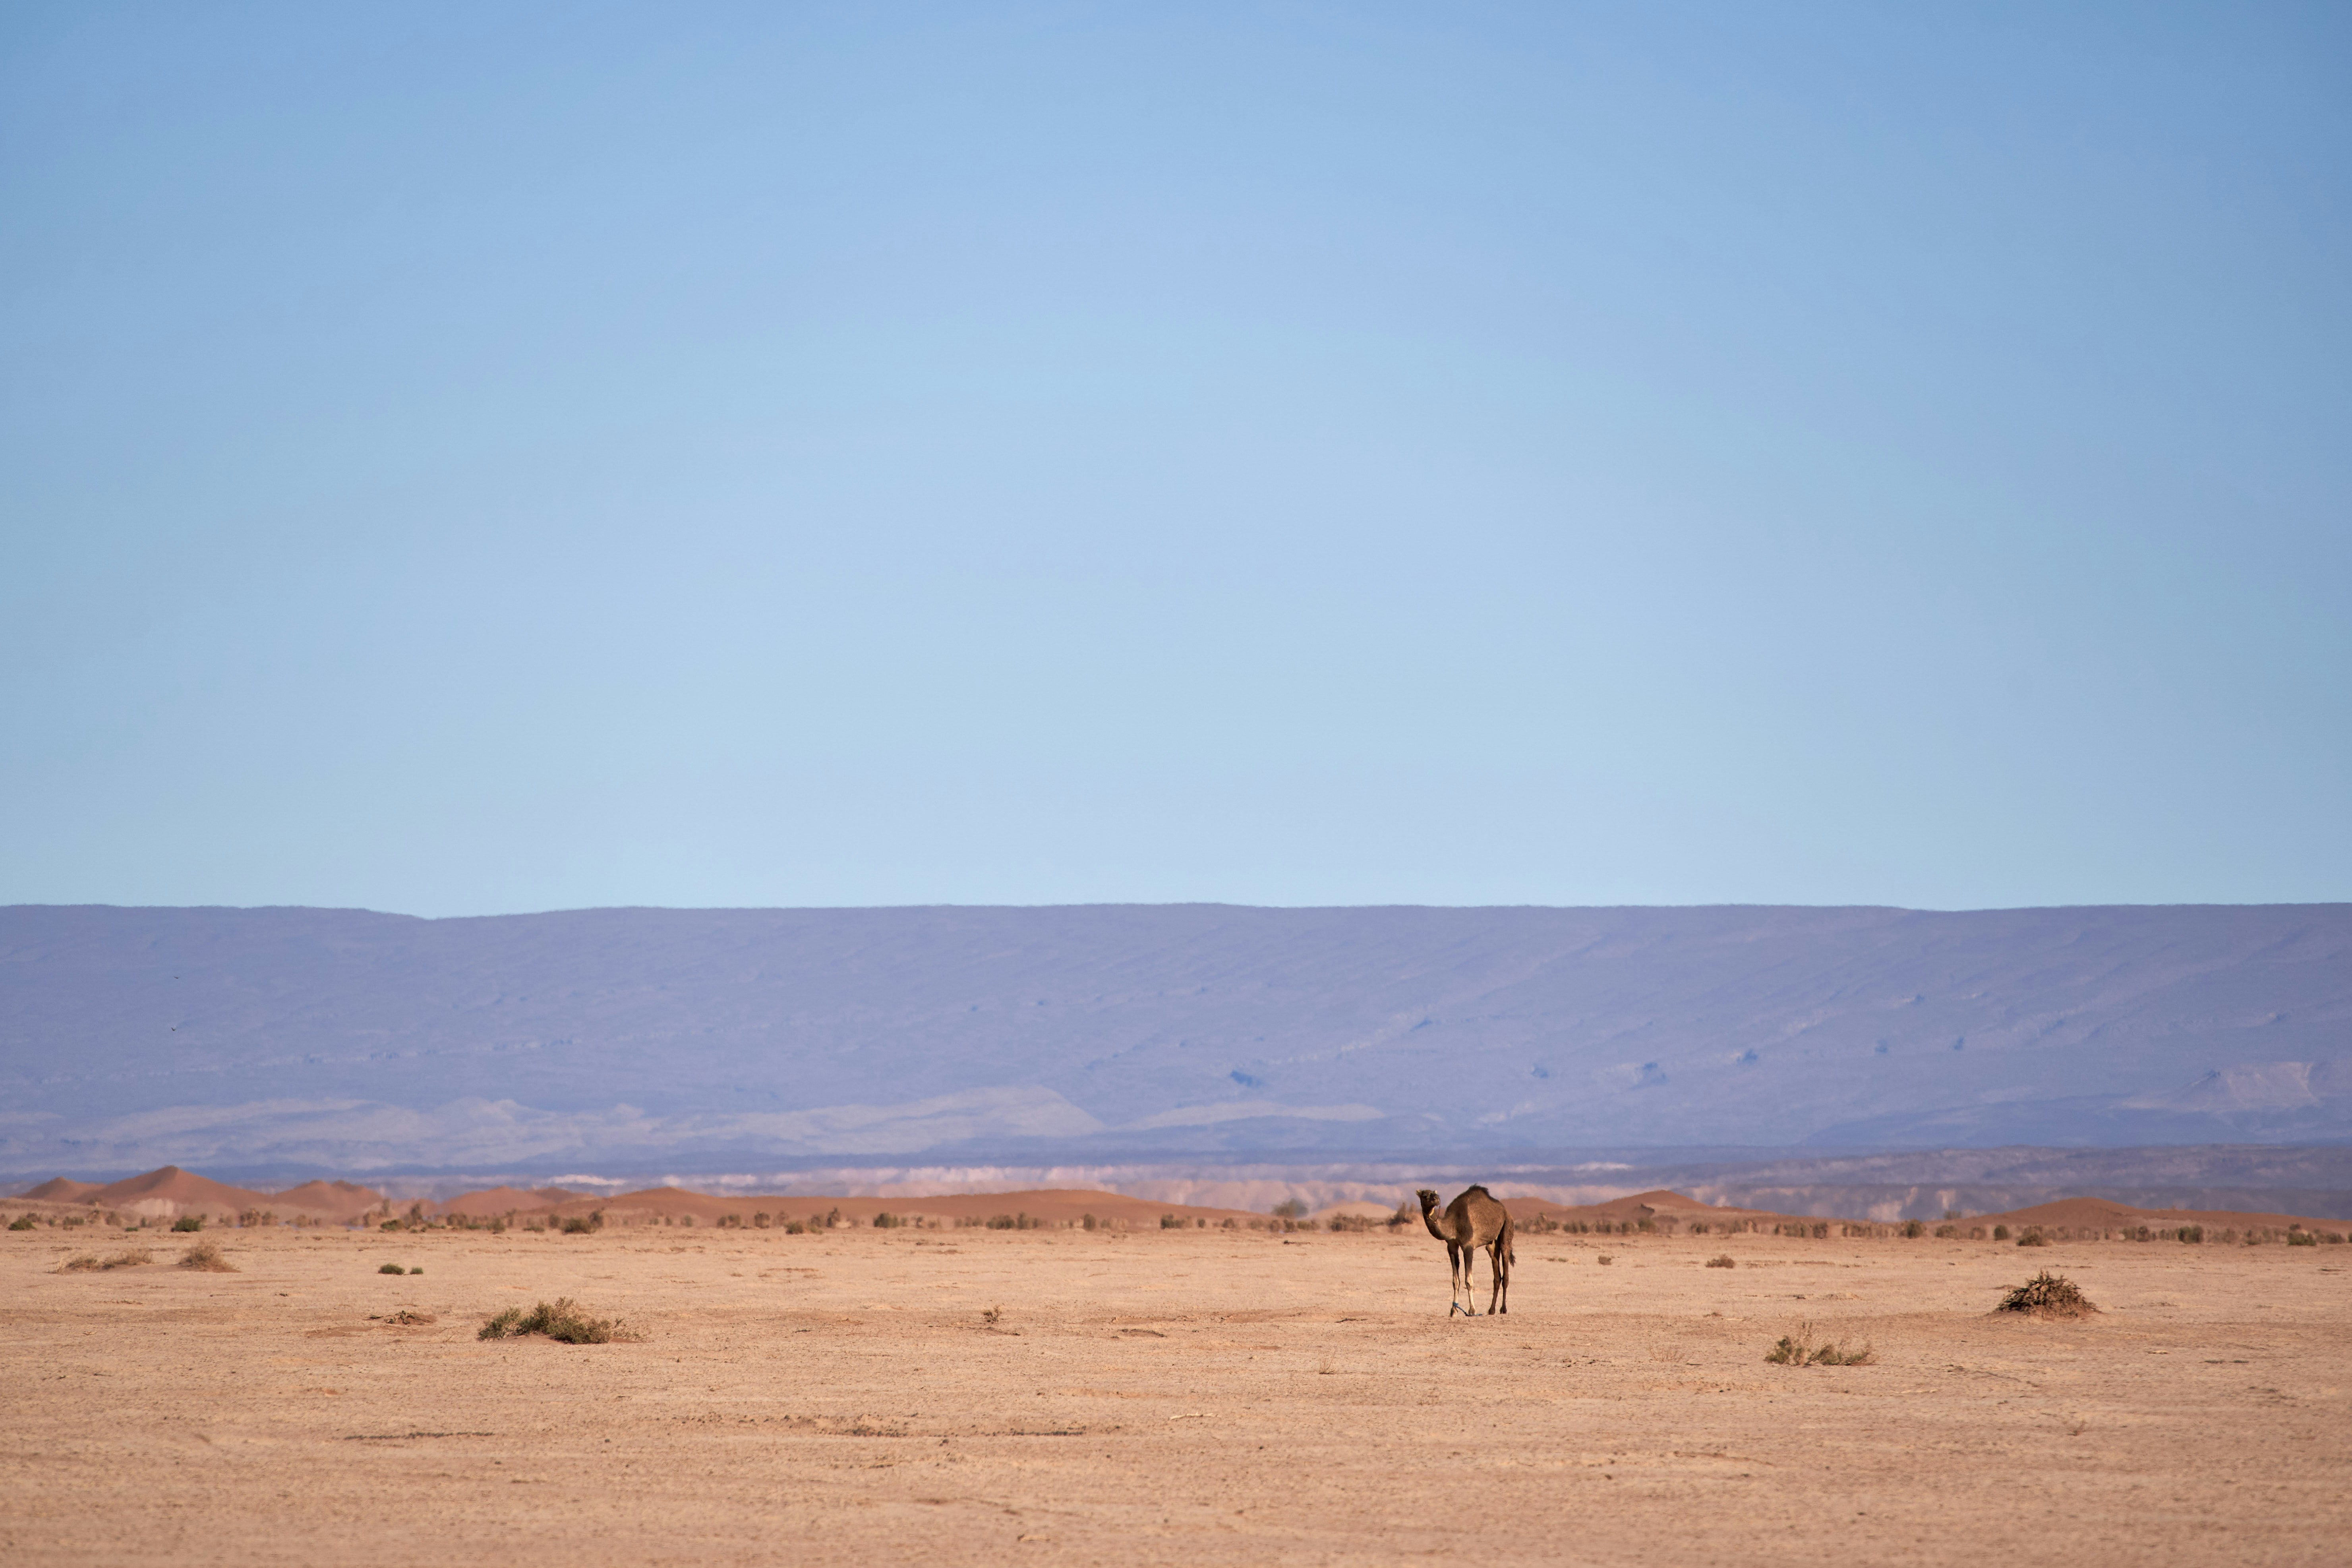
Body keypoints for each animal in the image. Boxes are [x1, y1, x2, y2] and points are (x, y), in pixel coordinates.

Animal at [1417, 1185, 1513, 1316]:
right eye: (1424, 1196)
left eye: (1434, 1194)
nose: (1436, 1200)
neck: (1453, 1225)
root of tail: (1506, 1212)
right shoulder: (1452, 1246)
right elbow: (1455, 1281)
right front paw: (1453, 1311)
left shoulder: (1468, 1246)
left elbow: (1469, 1281)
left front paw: (1472, 1310)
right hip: (1492, 1243)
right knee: (1497, 1273)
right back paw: (1492, 1310)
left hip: (1507, 1227)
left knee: (1506, 1269)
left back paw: (1503, 1309)